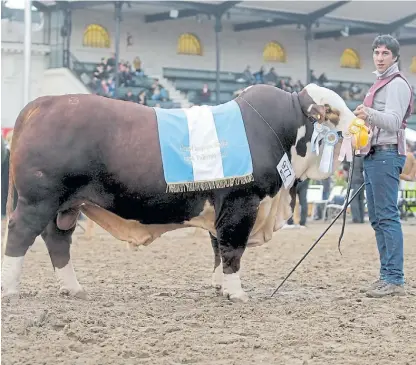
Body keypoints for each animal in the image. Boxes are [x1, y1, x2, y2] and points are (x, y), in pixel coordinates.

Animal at [0, 82, 358, 302]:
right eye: (333, 111)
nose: (360, 128)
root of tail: (46, 101)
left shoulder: (221, 208)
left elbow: (217, 248)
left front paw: (219, 287)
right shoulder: (242, 202)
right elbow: (232, 249)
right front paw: (236, 292)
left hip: (66, 206)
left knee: (57, 240)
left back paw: (73, 289)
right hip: (39, 200)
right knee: (20, 235)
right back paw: (11, 290)